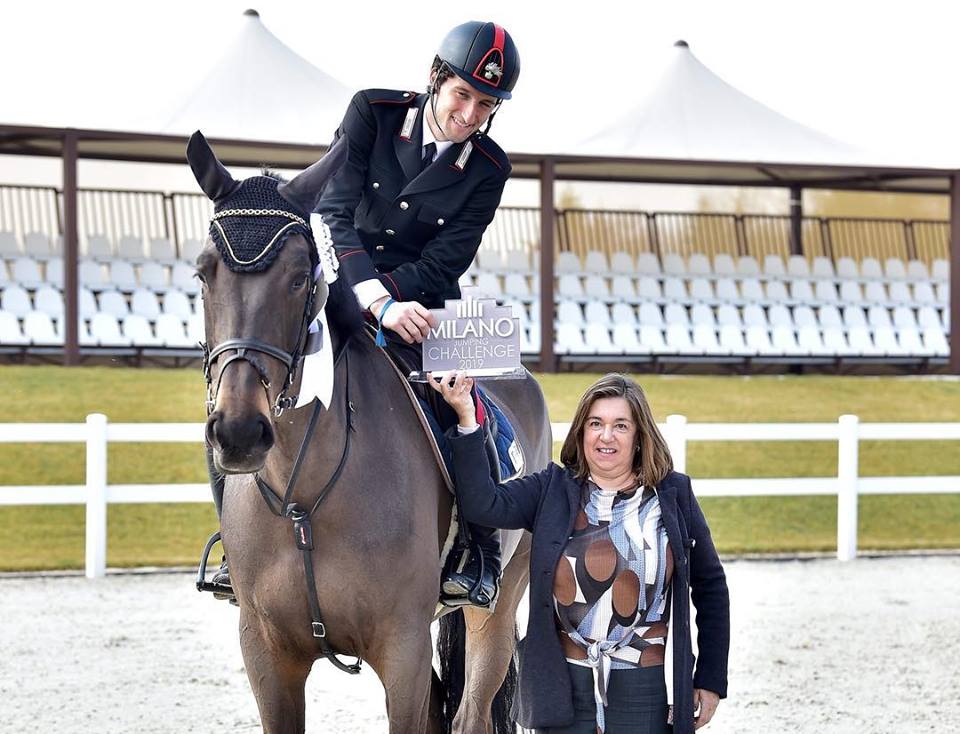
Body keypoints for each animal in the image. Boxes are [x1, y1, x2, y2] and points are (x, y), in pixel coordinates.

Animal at [187, 131, 552, 733]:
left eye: (299, 277)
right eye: (203, 273)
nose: (239, 431)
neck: (303, 498)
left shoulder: (401, 651)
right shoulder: (265, 653)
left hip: (497, 611)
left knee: (471, 712)